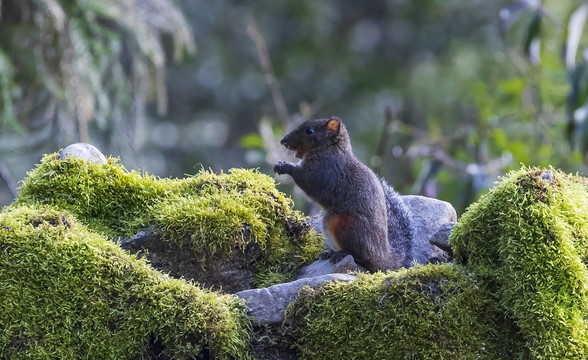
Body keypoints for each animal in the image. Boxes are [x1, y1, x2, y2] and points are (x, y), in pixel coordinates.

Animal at [272, 116, 414, 272]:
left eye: (309, 131)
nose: (283, 141)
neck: (330, 149)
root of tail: (383, 259)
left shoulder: (322, 171)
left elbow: (305, 179)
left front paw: (285, 166)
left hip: (344, 224)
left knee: (361, 257)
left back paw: (342, 254)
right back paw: (329, 253)